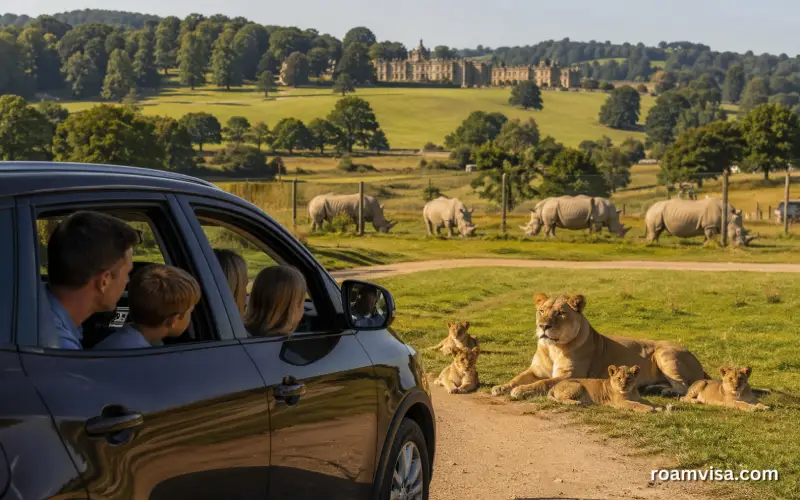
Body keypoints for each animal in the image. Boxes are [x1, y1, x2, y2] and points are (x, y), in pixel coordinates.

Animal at [490, 293, 708, 400]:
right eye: (542, 311)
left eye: (560, 313)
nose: (543, 326)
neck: (552, 348)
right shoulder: (535, 370)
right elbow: (518, 377)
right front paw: (501, 387)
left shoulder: (571, 375)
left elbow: (543, 383)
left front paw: (521, 391)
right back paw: (653, 387)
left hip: (665, 353)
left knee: (683, 386)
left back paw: (666, 392)